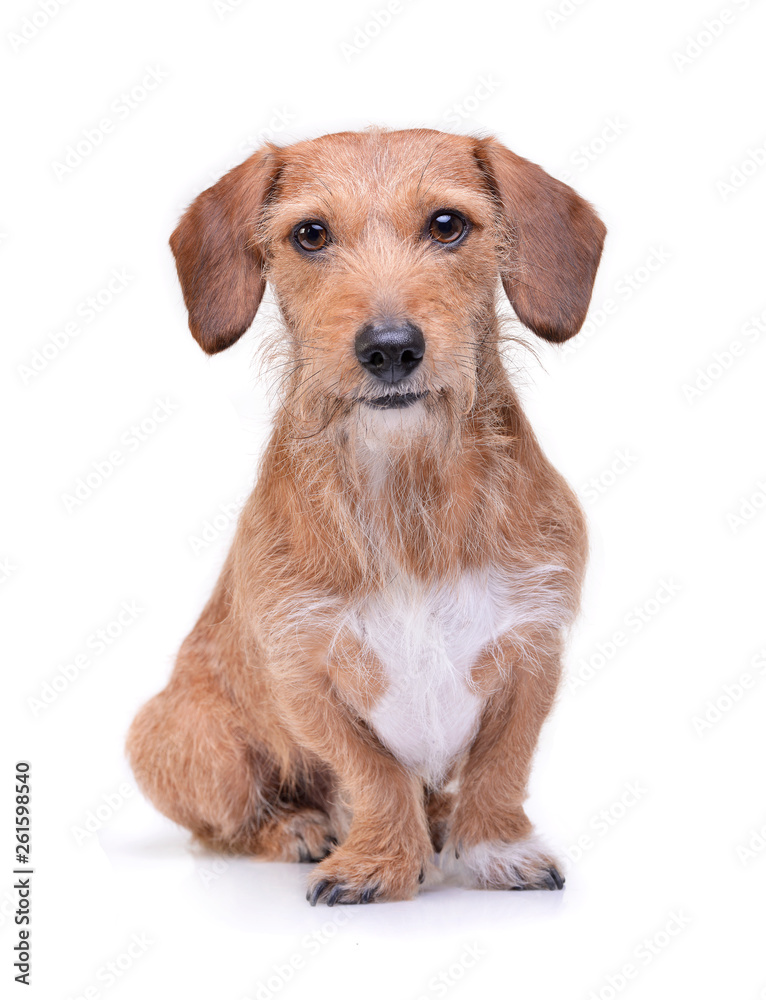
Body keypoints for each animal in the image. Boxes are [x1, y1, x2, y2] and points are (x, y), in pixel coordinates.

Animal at [126, 127, 608, 908]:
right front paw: (377, 861)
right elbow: (373, 773)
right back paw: (298, 827)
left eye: (447, 224)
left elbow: (501, 767)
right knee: (226, 824)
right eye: (310, 234)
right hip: (191, 743)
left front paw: (496, 847)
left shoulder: (531, 651)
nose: (389, 348)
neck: (405, 487)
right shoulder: (306, 673)